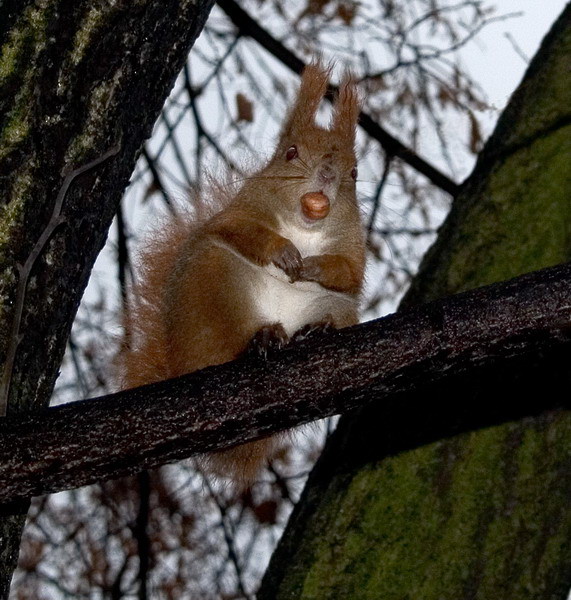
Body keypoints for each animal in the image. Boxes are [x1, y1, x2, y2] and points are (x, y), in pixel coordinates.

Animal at [122, 63, 366, 488]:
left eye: (354, 172)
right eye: (290, 153)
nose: (327, 174)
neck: (305, 228)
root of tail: (176, 359)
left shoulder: (354, 245)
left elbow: (351, 273)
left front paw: (314, 266)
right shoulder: (241, 209)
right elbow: (241, 231)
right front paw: (283, 251)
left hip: (337, 307)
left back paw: (316, 329)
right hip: (214, 290)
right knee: (224, 342)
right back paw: (261, 337)